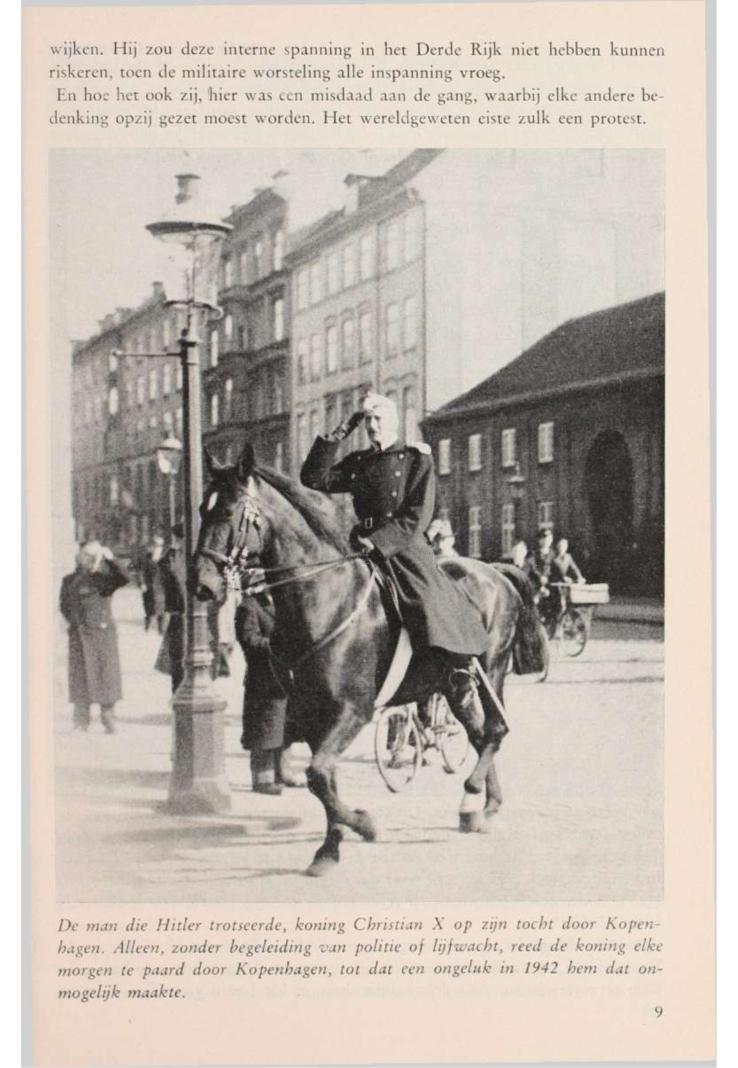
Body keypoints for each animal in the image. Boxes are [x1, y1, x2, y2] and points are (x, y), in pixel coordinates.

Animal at [192, 441, 547, 877]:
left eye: (228, 511)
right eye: (202, 509)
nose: (201, 583)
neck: (326, 596)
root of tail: (495, 571)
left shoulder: (353, 710)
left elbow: (318, 774)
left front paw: (361, 825)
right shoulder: (315, 712)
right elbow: (324, 779)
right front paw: (333, 845)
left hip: (491, 671)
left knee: (495, 731)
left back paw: (472, 794)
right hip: (455, 684)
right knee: (481, 735)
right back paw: (482, 807)